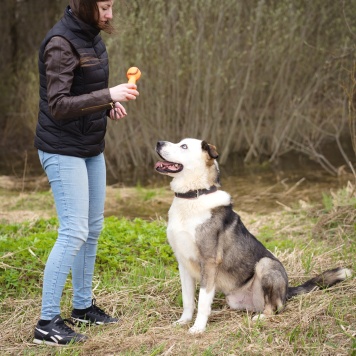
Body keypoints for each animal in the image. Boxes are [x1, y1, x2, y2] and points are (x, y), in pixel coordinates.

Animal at [154, 138, 352, 332]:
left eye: (184, 146)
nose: (158, 143)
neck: (194, 196)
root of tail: (287, 291)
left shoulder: (209, 261)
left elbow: (203, 300)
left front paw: (198, 328)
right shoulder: (183, 263)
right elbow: (188, 299)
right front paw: (184, 321)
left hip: (266, 265)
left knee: (275, 308)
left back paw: (260, 318)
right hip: (234, 299)